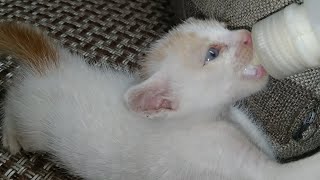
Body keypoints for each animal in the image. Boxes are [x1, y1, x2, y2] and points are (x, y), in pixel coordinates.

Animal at [0, 19, 320, 180]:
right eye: (212, 54)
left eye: (224, 27)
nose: (248, 34)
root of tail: (55, 65)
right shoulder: (227, 161)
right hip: (32, 125)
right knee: (12, 103)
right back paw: (10, 135)